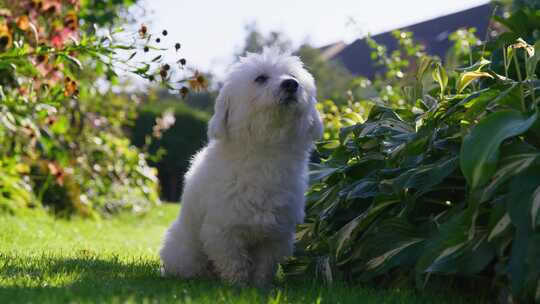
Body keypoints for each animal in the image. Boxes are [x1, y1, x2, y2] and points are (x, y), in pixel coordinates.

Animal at [158, 47, 322, 284]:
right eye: (260, 78)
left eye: (293, 76)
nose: (291, 84)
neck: (265, 151)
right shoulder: (224, 230)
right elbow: (234, 262)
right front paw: (238, 286)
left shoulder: (276, 234)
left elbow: (265, 265)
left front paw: (260, 286)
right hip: (184, 251)